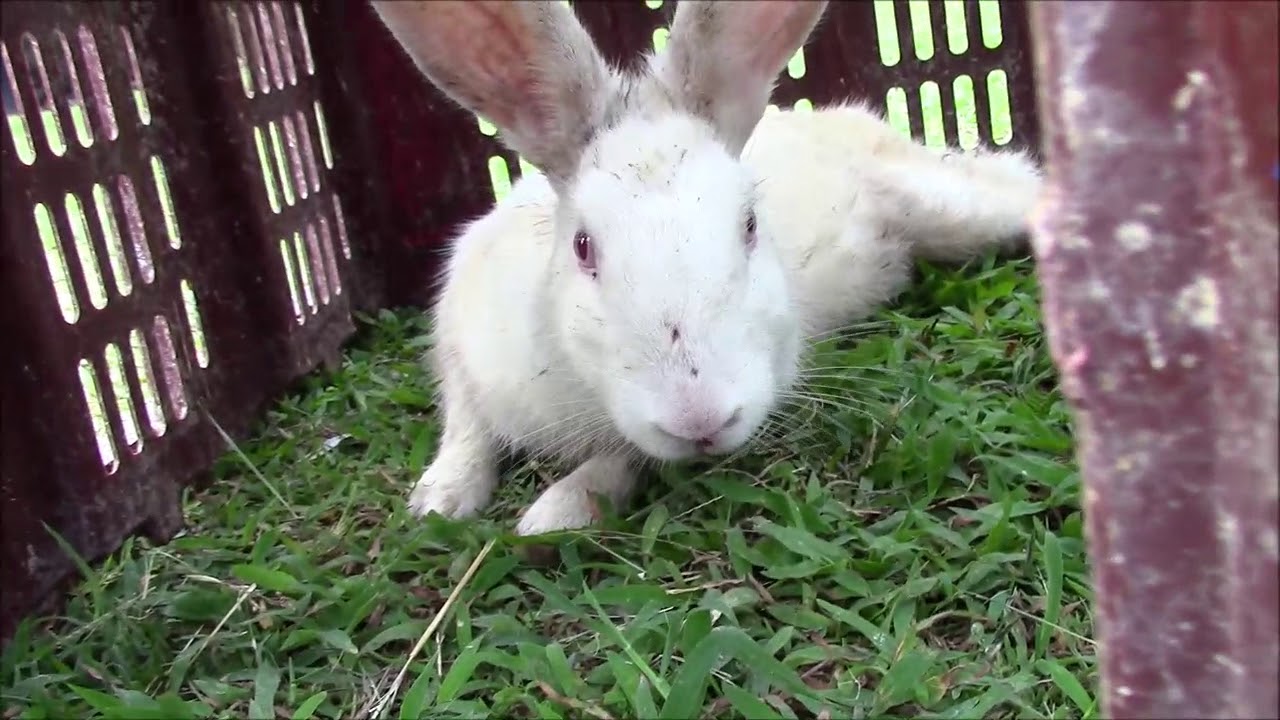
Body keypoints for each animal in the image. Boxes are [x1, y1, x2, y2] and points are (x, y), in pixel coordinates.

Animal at [371, 0, 1044, 537]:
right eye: (583, 246)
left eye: (749, 225)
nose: (701, 419)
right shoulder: (460, 342)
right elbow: (465, 427)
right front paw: (439, 500)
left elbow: (622, 458)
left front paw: (553, 513)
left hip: (953, 210)